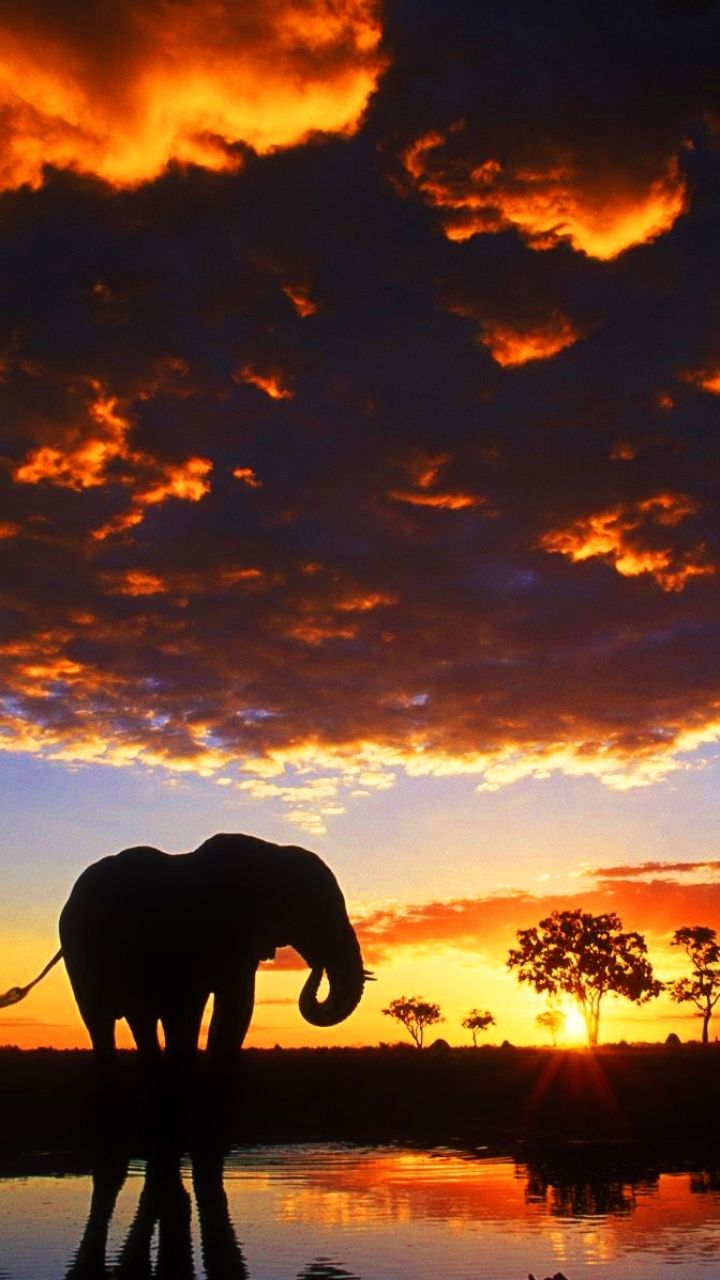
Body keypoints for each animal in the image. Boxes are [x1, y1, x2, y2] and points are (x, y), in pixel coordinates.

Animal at [2, 833, 369, 1065]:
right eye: (315, 914)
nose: (317, 966)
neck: (270, 853)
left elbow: (235, 1005)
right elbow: (198, 1007)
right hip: (83, 956)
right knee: (107, 1021)